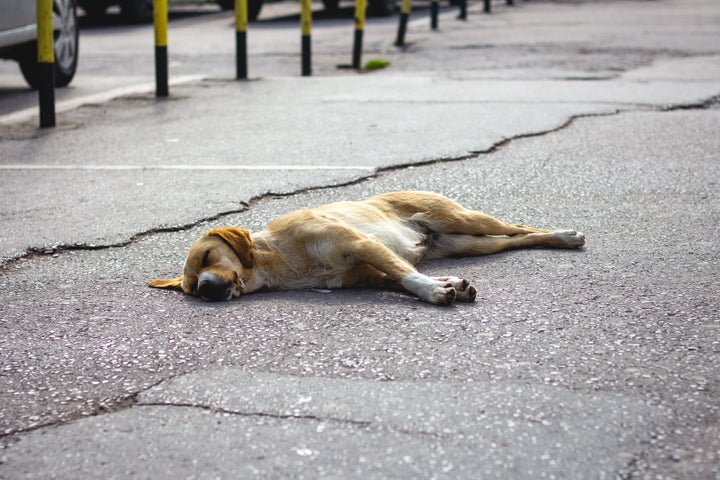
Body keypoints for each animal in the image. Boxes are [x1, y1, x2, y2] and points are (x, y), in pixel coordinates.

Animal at [149, 190, 584, 306]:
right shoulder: (365, 273)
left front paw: (431, 291)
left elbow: (406, 276)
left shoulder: (361, 244)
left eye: (207, 257)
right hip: (467, 246)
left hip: (464, 220)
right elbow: (398, 275)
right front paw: (450, 285)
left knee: (518, 227)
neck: (282, 262)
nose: (207, 289)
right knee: (518, 239)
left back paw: (564, 235)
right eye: (191, 289)